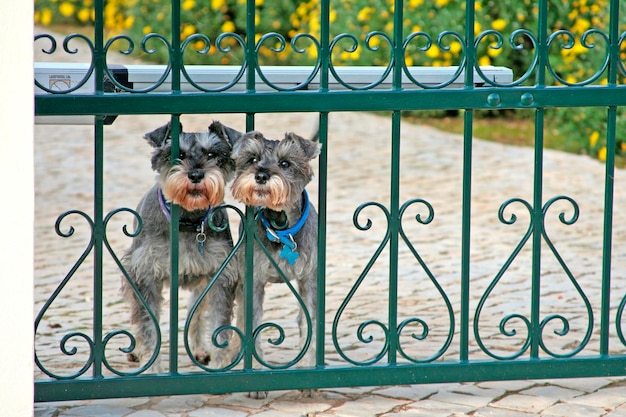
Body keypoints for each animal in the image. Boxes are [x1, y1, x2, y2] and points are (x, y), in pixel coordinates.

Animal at [120, 120, 239, 370]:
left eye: (212, 154)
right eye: (179, 154)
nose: (195, 174)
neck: (187, 221)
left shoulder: (220, 275)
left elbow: (219, 324)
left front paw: (220, 363)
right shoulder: (146, 273)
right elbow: (148, 323)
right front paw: (151, 365)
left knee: (196, 314)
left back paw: (200, 349)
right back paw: (136, 350)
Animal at [229, 127, 320, 376]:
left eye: (285, 163)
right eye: (252, 159)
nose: (261, 175)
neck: (281, 228)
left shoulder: (309, 280)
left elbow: (309, 322)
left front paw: (308, 368)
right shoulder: (254, 281)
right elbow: (252, 323)